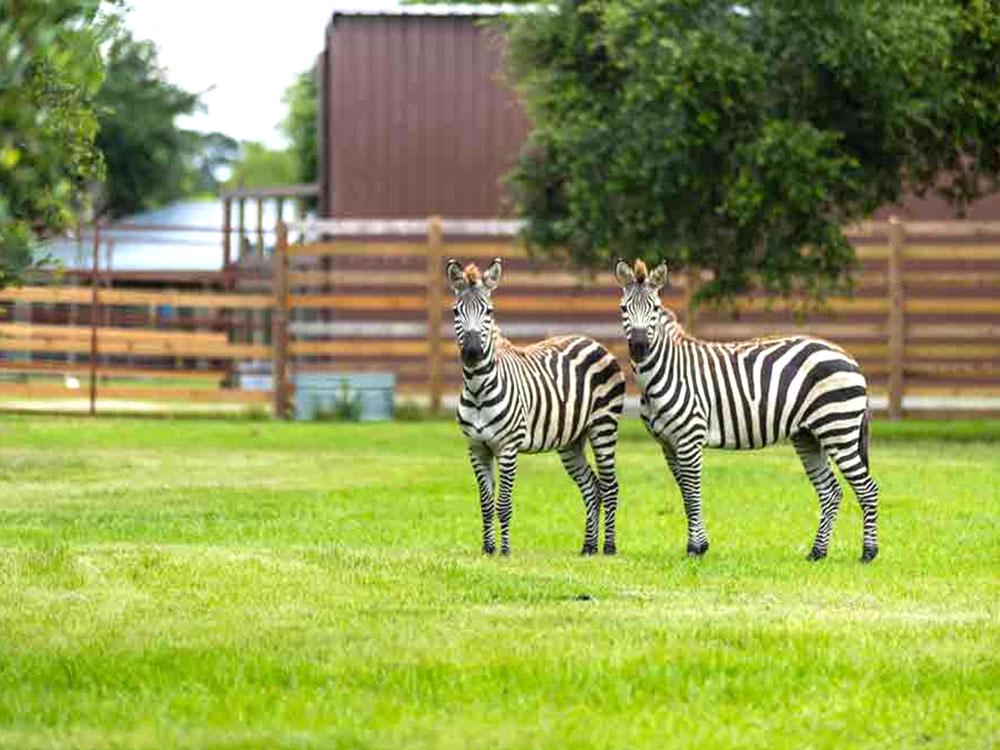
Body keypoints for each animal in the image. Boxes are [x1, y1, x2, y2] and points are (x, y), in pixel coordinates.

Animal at [448, 258, 624, 560]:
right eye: (456, 311)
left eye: (489, 311)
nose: (471, 353)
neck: (478, 388)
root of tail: (591, 340)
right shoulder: (477, 449)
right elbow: (486, 503)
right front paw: (488, 549)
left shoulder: (507, 448)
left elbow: (503, 504)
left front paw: (505, 551)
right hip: (571, 441)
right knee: (592, 488)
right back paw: (589, 547)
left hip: (603, 427)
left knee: (610, 486)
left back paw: (609, 548)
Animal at [612, 262, 880, 560]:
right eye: (623, 308)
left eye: (655, 308)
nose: (639, 348)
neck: (666, 371)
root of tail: (847, 355)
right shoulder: (668, 445)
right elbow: (684, 492)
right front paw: (698, 544)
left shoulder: (690, 438)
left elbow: (692, 493)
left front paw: (696, 548)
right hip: (808, 436)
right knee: (831, 492)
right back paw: (817, 553)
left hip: (838, 430)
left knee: (867, 489)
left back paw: (868, 553)